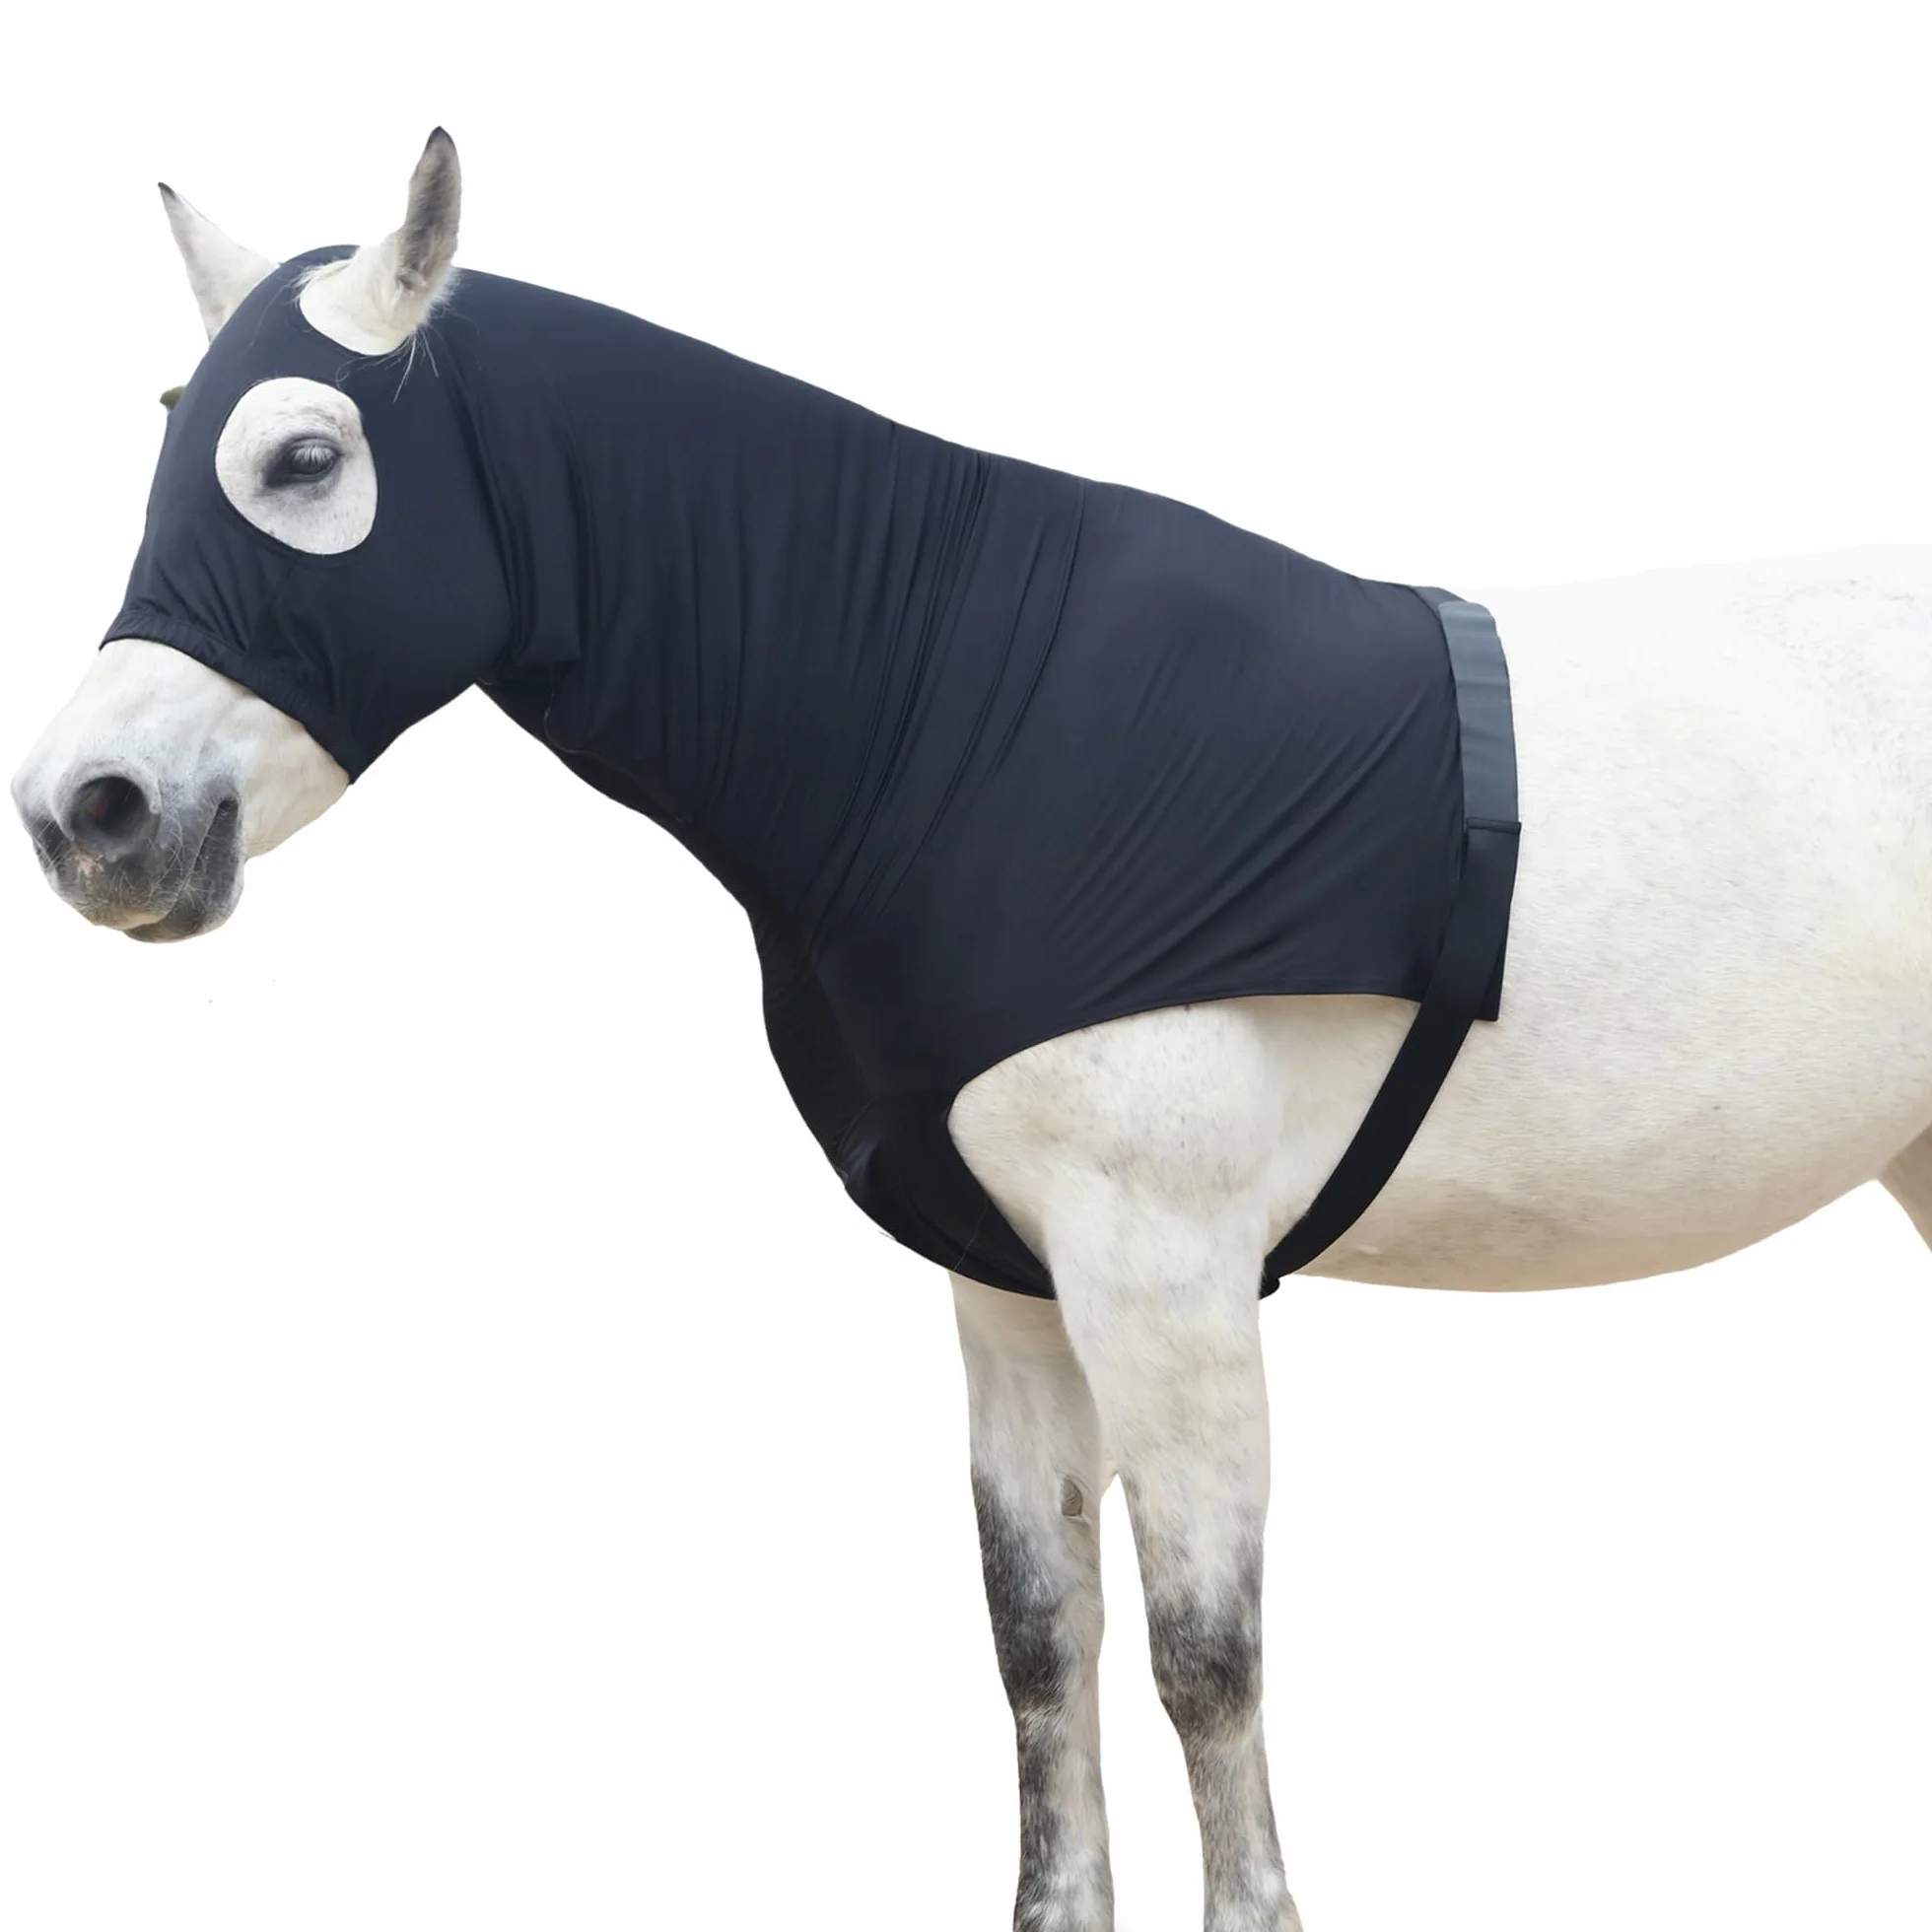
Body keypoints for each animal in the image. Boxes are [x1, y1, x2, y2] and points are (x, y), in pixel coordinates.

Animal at [13, 130, 1932, 1932]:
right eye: (169, 433)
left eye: (302, 462)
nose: (87, 817)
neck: (959, 719)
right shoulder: (1005, 1285)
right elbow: (1039, 1634)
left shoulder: (1166, 1279)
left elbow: (1203, 1654)